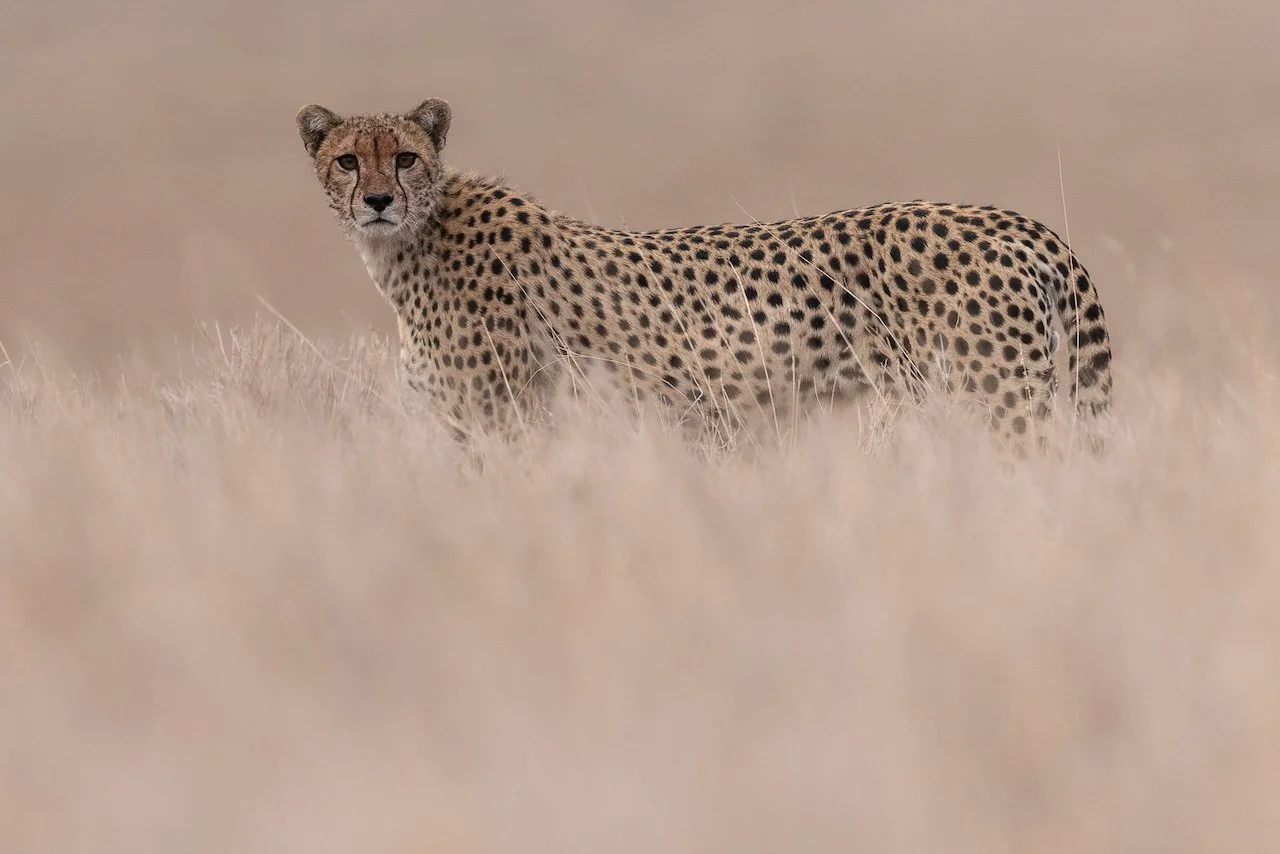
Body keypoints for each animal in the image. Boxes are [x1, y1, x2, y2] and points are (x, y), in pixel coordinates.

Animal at [295, 97, 1114, 448]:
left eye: (404, 156)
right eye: (348, 159)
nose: (376, 200)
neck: (409, 246)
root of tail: (1018, 222)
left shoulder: (504, 425)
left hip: (1000, 403)